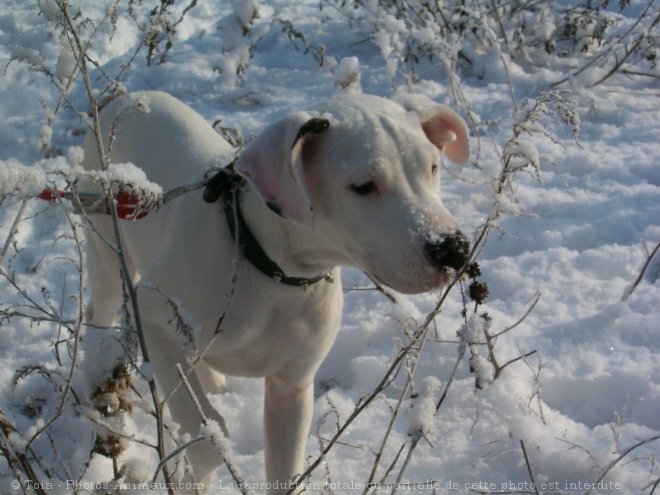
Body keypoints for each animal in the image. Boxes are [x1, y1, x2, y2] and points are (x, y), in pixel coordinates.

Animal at [81, 92, 470, 492]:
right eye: (363, 186)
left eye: (433, 168)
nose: (453, 248)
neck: (272, 269)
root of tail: (127, 97)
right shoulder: (154, 320)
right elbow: (204, 433)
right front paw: (196, 473)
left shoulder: (292, 387)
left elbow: (286, 472)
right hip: (106, 248)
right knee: (101, 312)